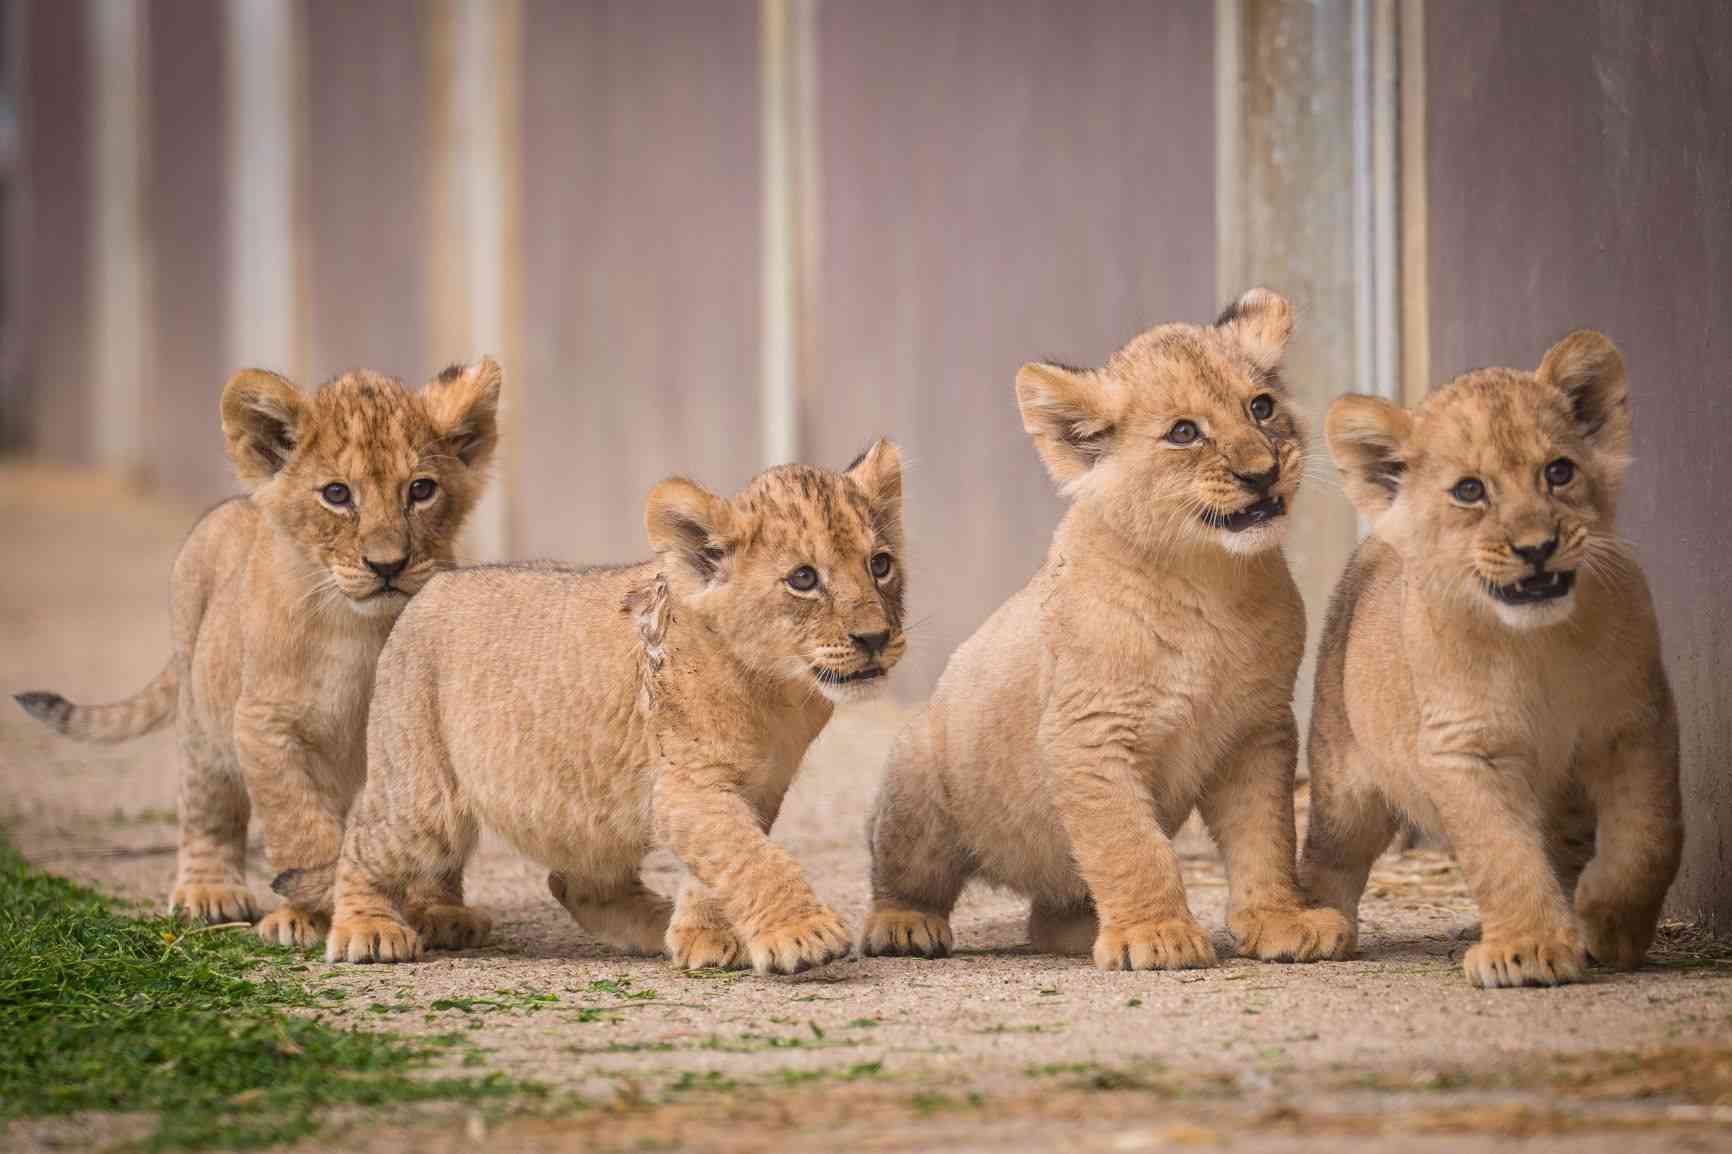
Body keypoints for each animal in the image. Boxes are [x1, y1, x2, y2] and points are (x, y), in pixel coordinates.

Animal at [14, 361, 501, 947]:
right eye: (337, 494)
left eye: (422, 490)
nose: (387, 565)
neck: (363, 631)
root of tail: (235, 506)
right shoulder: (265, 725)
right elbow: (301, 828)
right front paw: (346, 916)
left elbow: (424, 832)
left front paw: (437, 911)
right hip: (203, 724)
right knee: (209, 810)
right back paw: (218, 896)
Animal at [322, 441, 906, 975]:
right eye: (804, 579)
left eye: (880, 565)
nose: (876, 638)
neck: (778, 691)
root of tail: (434, 583)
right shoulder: (687, 785)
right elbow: (749, 856)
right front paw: (802, 932)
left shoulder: (756, 789)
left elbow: (720, 861)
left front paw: (703, 936)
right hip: (423, 797)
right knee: (364, 843)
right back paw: (367, 930)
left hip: (583, 806)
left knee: (573, 883)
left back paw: (657, 924)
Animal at [861, 289, 1351, 971]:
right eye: (1183, 432)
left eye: (1260, 406)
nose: (1263, 472)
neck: (1209, 582)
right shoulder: (1089, 735)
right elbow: (1131, 844)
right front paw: (1157, 934)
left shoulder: (1257, 732)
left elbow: (1267, 836)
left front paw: (1282, 921)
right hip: (919, 786)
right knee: (905, 873)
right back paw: (906, 924)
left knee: (1047, 913)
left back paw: (1078, 929)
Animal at [1299, 331, 1681, 988]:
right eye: (1470, 490)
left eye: (1559, 471)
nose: (1537, 548)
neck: (1537, 645)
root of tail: (1379, 540)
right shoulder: (1465, 748)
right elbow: (1501, 853)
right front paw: (1527, 948)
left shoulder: (1637, 724)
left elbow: (1648, 839)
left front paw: (1610, 926)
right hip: (1342, 778)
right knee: (1330, 851)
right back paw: (1317, 926)